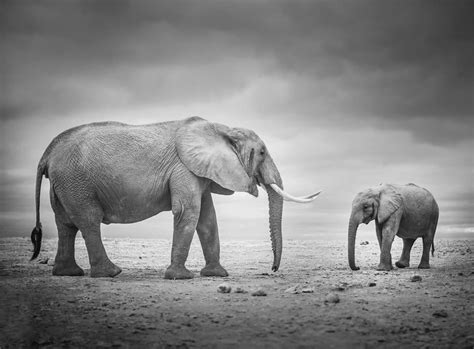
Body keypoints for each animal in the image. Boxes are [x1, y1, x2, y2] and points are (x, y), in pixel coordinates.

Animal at [30, 115, 322, 278]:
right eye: (261, 153)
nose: (273, 270)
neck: (222, 129)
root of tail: (47, 153)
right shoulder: (183, 168)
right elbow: (188, 212)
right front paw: (181, 277)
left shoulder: (199, 172)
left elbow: (208, 219)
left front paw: (217, 276)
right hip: (76, 181)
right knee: (88, 221)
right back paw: (111, 273)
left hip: (65, 183)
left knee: (65, 224)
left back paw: (69, 274)